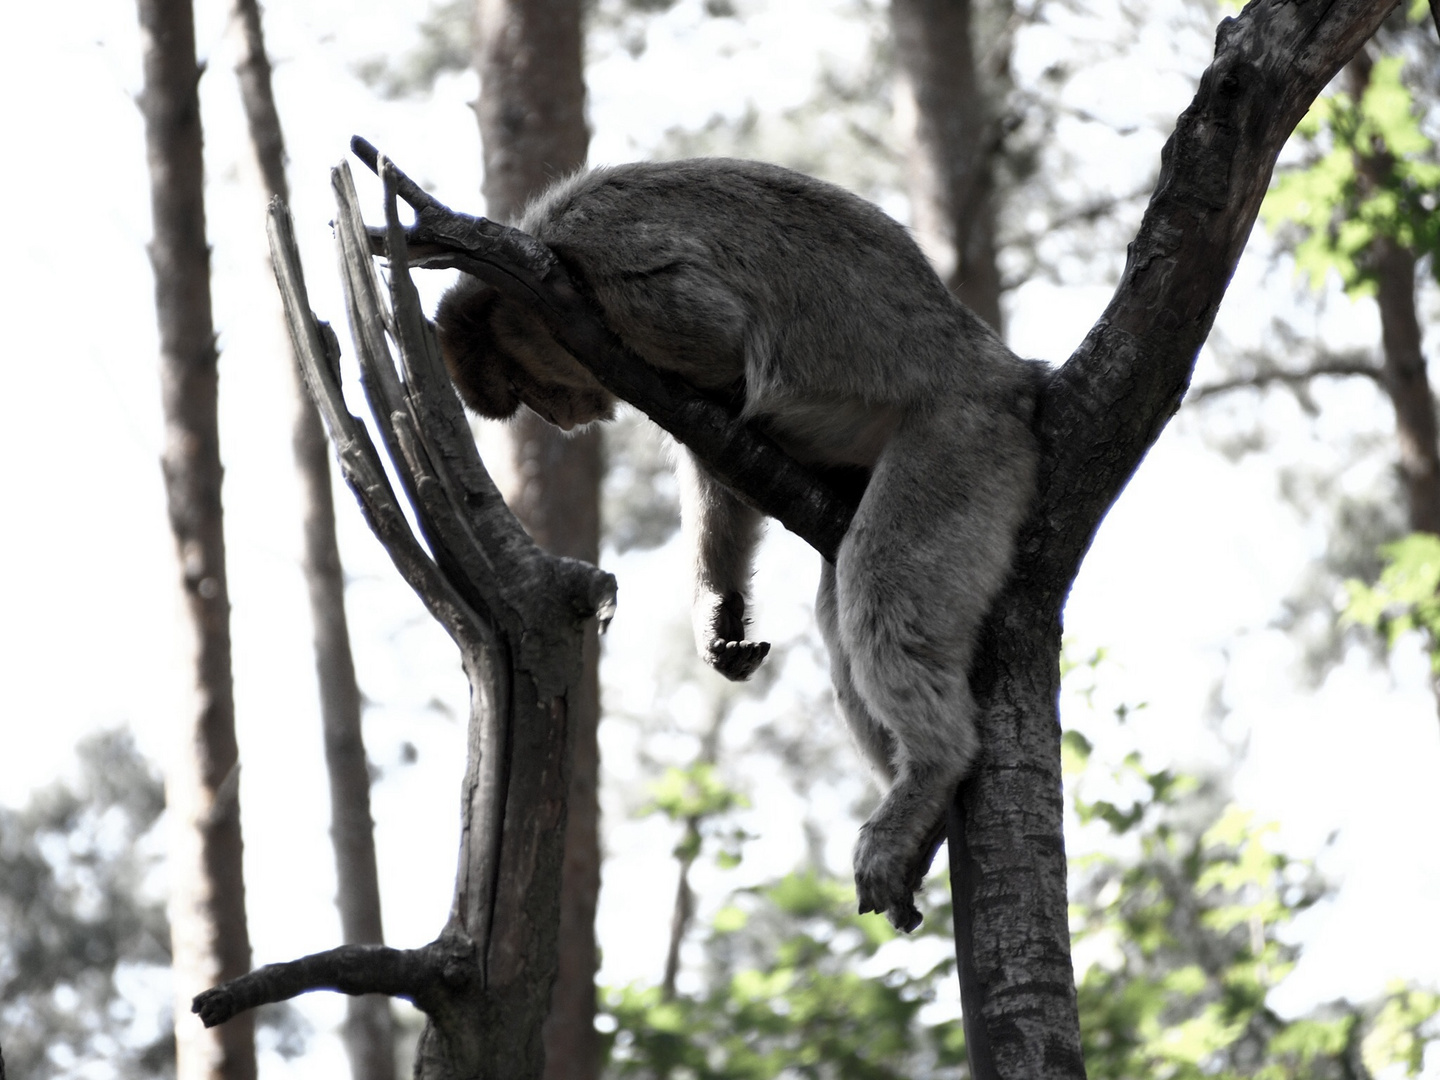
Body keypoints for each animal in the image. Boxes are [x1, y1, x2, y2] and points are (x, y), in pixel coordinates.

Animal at [432, 156, 1042, 933]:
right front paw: (717, 609)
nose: (558, 416)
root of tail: (1003, 371)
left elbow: (720, 350)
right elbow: (714, 448)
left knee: (879, 580)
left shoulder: (615, 268)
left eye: (521, 378)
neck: (549, 250)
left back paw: (932, 767)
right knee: (843, 606)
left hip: (962, 440)